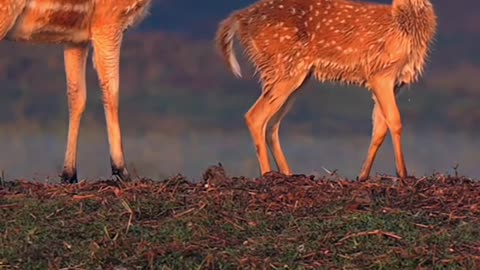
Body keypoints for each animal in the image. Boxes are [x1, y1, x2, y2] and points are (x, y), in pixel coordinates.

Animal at [0, 0, 152, 184]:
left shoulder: (76, 38)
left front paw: (69, 175)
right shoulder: (108, 21)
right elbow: (111, 92)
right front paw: (122, 172)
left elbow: (77, 97)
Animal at [216, 0, 436, 181]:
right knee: (255, 116)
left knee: (271, 124)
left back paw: (288, 174)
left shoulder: (395, 82)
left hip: (295, 76)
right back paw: (267, 175)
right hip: (283, 67)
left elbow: (379, 127)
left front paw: (363, 176)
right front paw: (403, 174)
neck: (403, 25)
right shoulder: (381, 73)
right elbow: (395, 121)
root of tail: (239, 18)